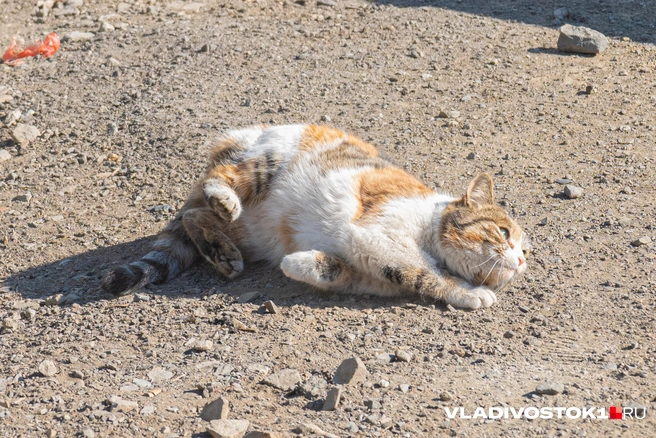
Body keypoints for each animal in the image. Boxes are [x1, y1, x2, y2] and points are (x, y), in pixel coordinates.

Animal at [104, 123, 532, 310]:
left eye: (524, 247)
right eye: (503, 232)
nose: (522, 260)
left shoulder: (368, 269)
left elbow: (339, 271)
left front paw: (302, 264)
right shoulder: (380, 237)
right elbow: (424, 272)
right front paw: (471, 293)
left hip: (251, 233)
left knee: (194, 217)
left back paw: (222, 253)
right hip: (265, 160)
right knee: (218, 181)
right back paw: (223, 200)